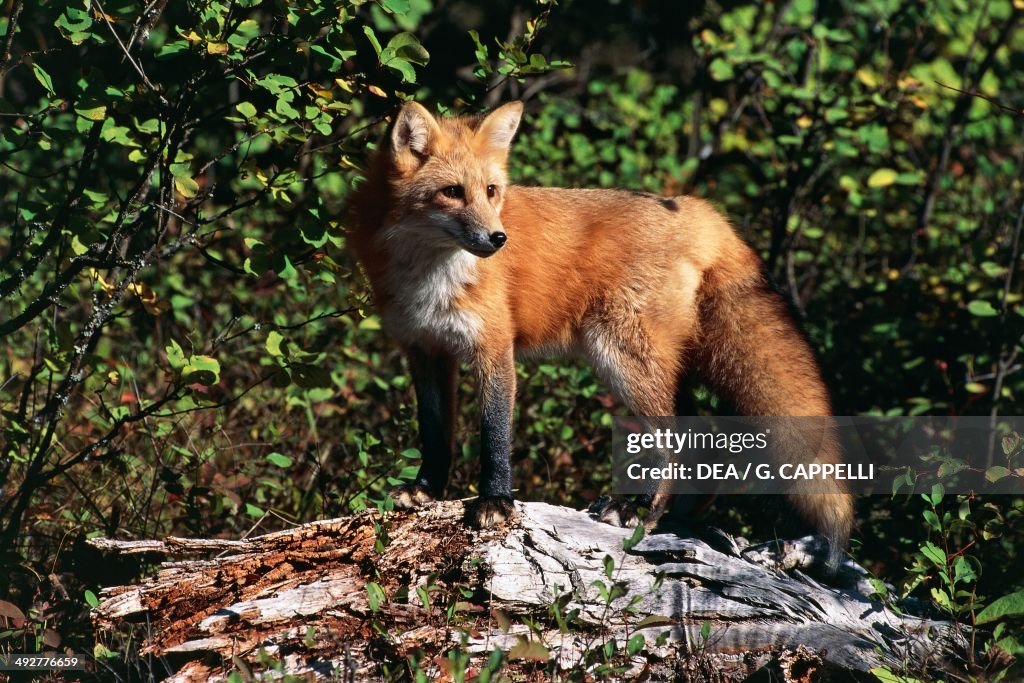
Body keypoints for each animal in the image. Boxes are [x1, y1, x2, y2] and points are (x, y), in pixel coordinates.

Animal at [348, 100, 851, 565]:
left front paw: (496, 502)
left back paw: (641, 512)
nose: (498, 239)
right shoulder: (425, 349)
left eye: (491, 191)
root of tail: (697, 209)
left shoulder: (493, 346)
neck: (430, 276)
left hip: (622, 358)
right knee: (705, 438)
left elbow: (494, 433)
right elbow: (435, 431)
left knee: (678, 438)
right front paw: (427, 491)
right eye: (452, 192)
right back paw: (679, 518)